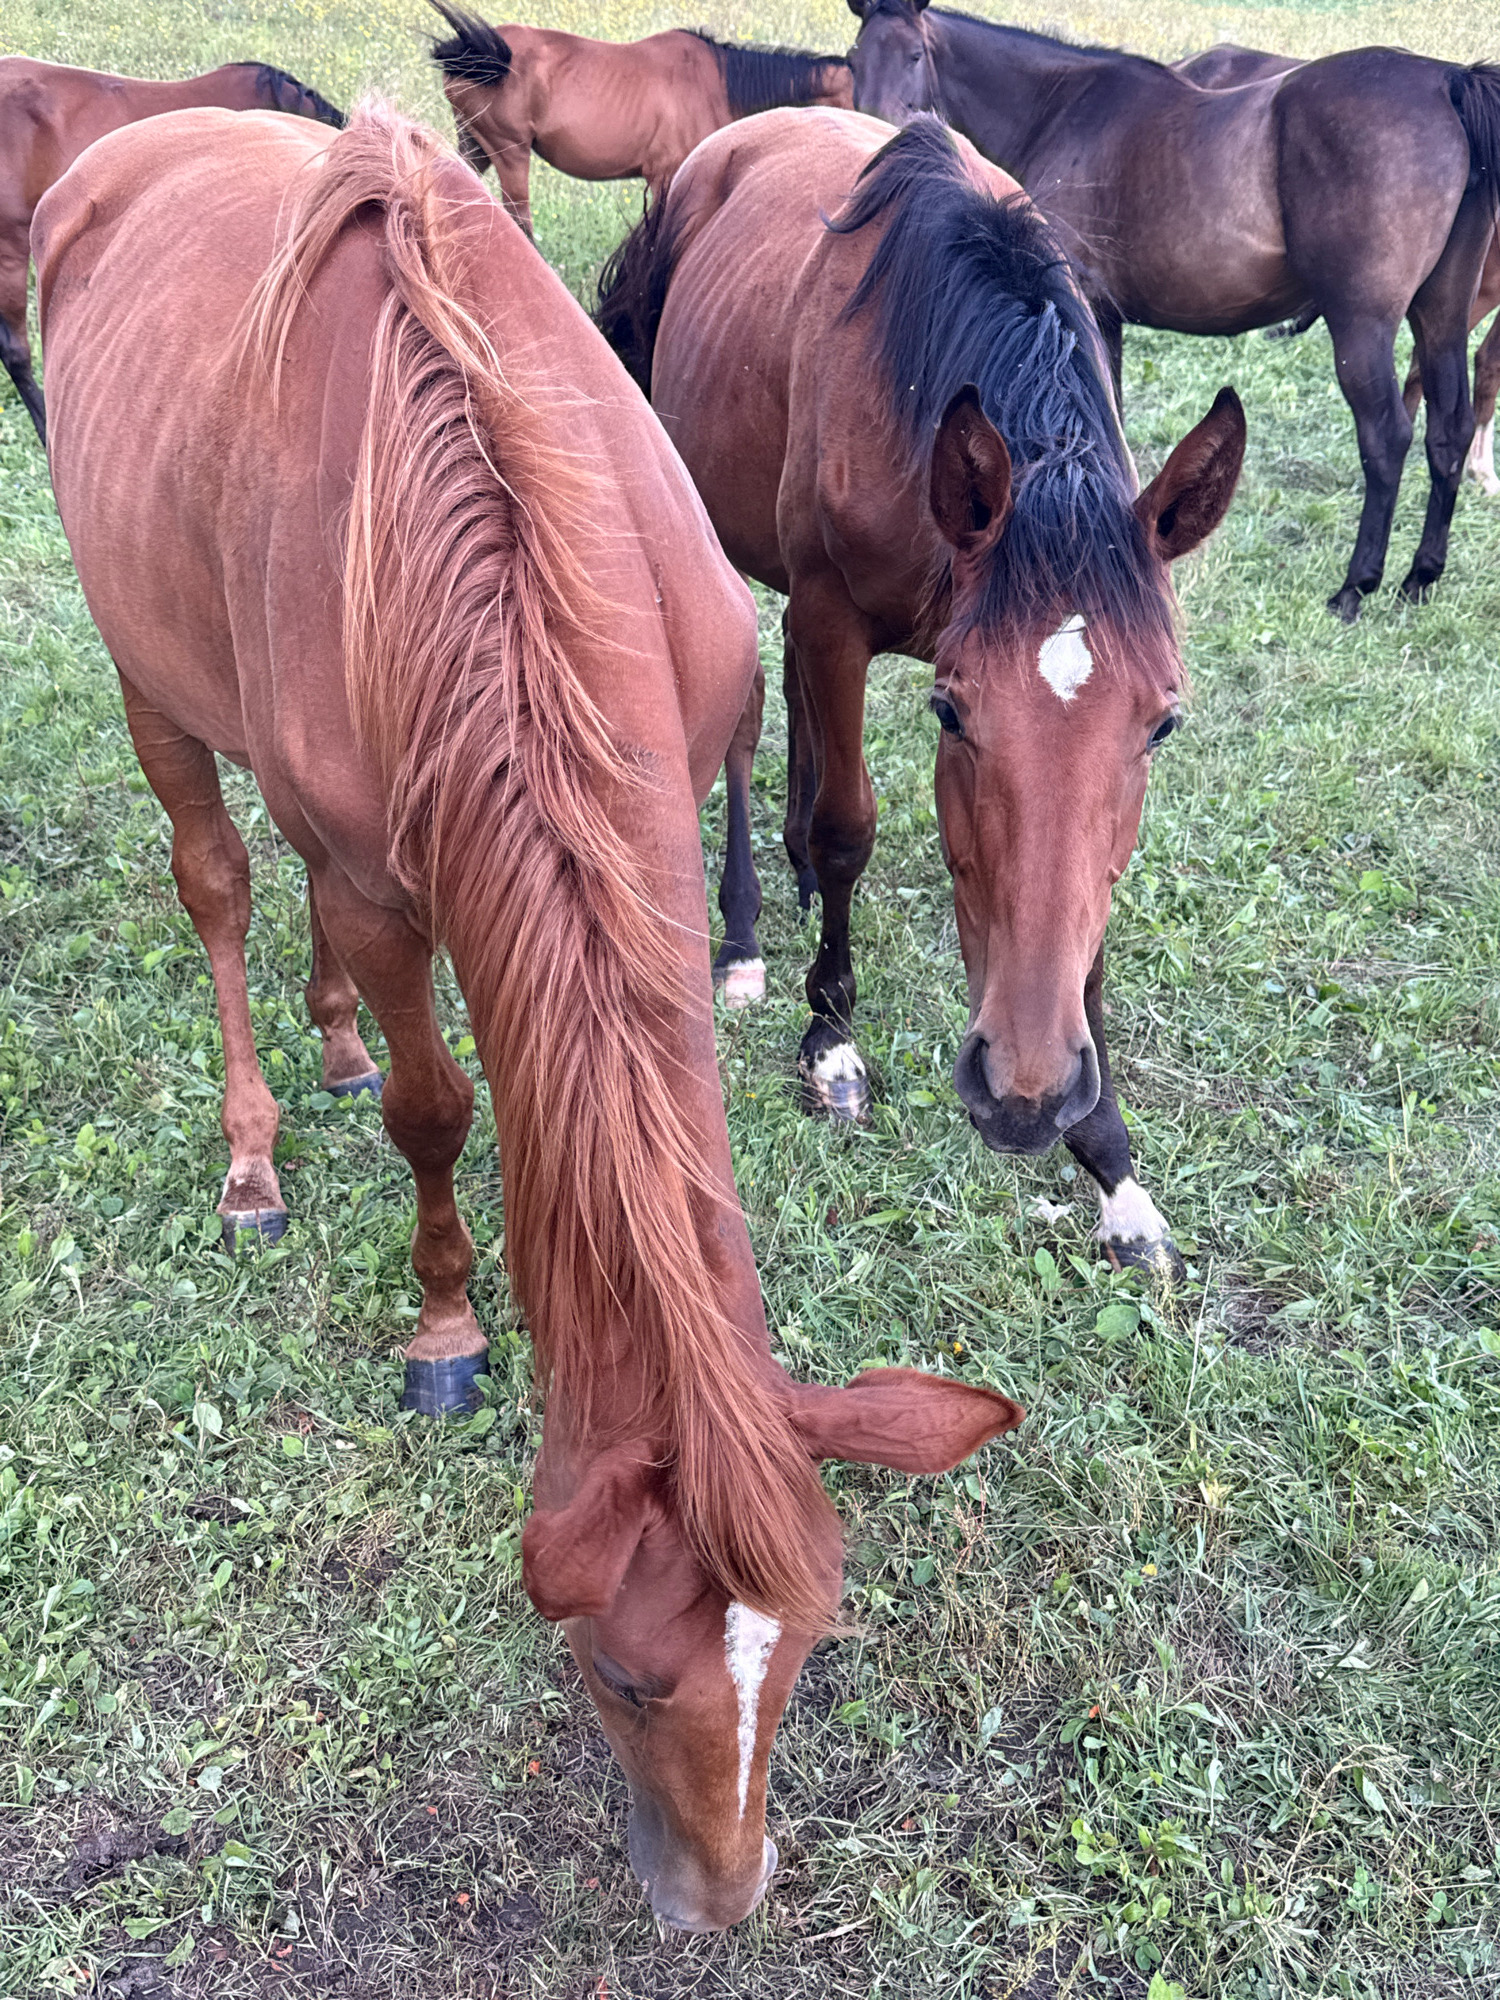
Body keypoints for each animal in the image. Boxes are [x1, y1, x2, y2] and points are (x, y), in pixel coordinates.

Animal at [33, 98, 1024, 1933]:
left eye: (802, 1664)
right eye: (627, 1683)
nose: (718, 1906)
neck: (496, 540)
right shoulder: (377, 878)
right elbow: (438, 1110)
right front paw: (445, 1322)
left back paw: (332, 1037)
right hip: (154, 685)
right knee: (220, 881)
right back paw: (258, 1146)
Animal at [596, 109, 1244, 1277]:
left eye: (1162, 725)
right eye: (952, 712)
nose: (1026, 1092)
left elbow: (1087, 912)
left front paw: (1112, 1160)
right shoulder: (833, 615)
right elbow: (850, 823)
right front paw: (831, 1039)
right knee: (749, 720)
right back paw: (748, 933)